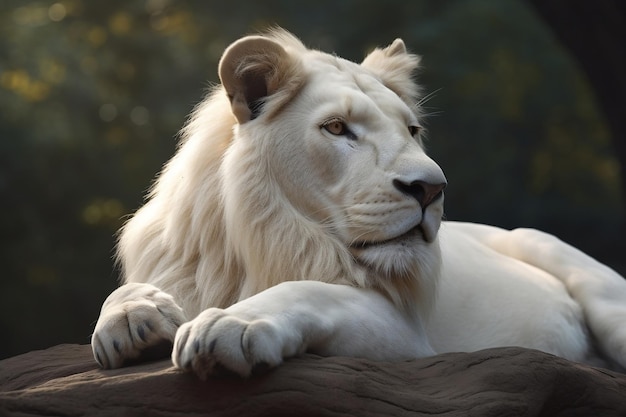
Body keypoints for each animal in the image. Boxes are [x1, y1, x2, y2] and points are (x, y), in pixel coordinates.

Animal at [90, 30, 624, 376]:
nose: (432, 189)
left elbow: (311, 289)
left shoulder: (408, 333)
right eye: (337, 128)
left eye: (411, 130)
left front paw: (229, 322)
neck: (256, 241)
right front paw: (133, 319)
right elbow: (122, 294)